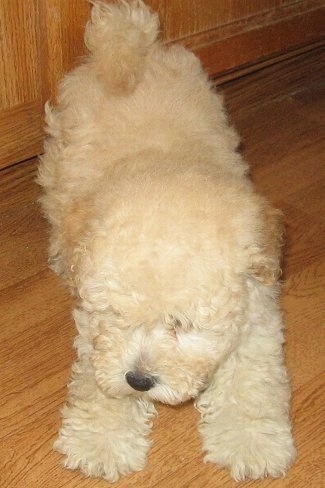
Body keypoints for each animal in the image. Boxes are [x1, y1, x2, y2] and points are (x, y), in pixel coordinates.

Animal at [37, 0, 294, 480]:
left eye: (182, 324)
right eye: (116, 315)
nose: (139, 380)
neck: (164, 162)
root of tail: (125, 43)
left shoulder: (257, 313)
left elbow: (251, 380)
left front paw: (251, 442)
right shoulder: (95, 333)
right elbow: (97, 381)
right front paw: (101, 441)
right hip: (61, 156)